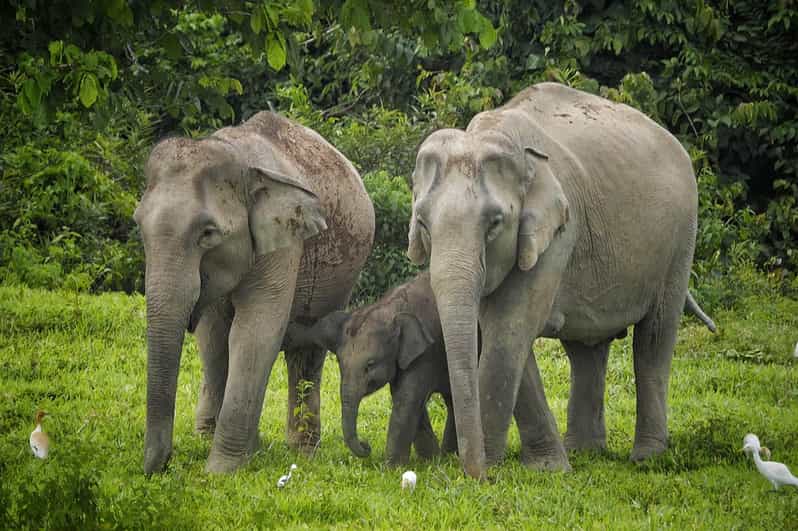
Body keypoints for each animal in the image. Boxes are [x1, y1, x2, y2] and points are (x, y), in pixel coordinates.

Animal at [134, 111, 375, 474]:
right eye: (138, 226)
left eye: (208, 233)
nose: (161, 468)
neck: (238, 157)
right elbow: (214, 336)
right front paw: (224, 450)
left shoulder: (284, 241)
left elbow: (254, 332)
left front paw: (220, 472)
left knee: (308, 351)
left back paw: (303, 451)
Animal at [286, 271, 457, 465]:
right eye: (339, 363)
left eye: (370, 364)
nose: (366, 445)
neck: (391, 308)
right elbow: (407, 398)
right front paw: (431, 462)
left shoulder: (426, 353)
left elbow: (407, 399)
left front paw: (394, 468)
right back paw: (450, 456)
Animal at [406, 82, 713, 478]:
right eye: (423, 224)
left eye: (495, 224)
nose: (473, 472)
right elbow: (502, 331)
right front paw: (549, 468)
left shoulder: (558, 231)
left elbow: (509, 327)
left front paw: (517, 468)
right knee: (586, 350)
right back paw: (585, 451)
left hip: (680, 240)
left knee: (654, 338)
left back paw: (647, 458)